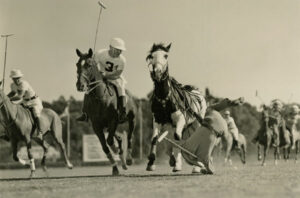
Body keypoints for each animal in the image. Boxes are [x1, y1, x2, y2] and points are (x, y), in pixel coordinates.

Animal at [75, 48, 137, 176]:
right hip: (107, 126)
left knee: (129, 136)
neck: (100, 97)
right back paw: (122, 160)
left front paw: (117, 151)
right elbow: (105, 146)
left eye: (89, 65)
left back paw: (128, 159)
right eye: (77, 64)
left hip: (132, 119)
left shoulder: (113, 120)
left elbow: (109, 141)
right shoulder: (96, 125)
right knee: (119, 138)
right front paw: (115, 168)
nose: (80, 85)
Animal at [145, 43, 206, 172]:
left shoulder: (180, 119)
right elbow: (155, 138)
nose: (157, 72)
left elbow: (176, 138)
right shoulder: (158, 120)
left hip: (197, 122)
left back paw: (197, 166)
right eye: (151, 56)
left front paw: (177, 163)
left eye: (166, 55)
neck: (164, 98)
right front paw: (151, 162)